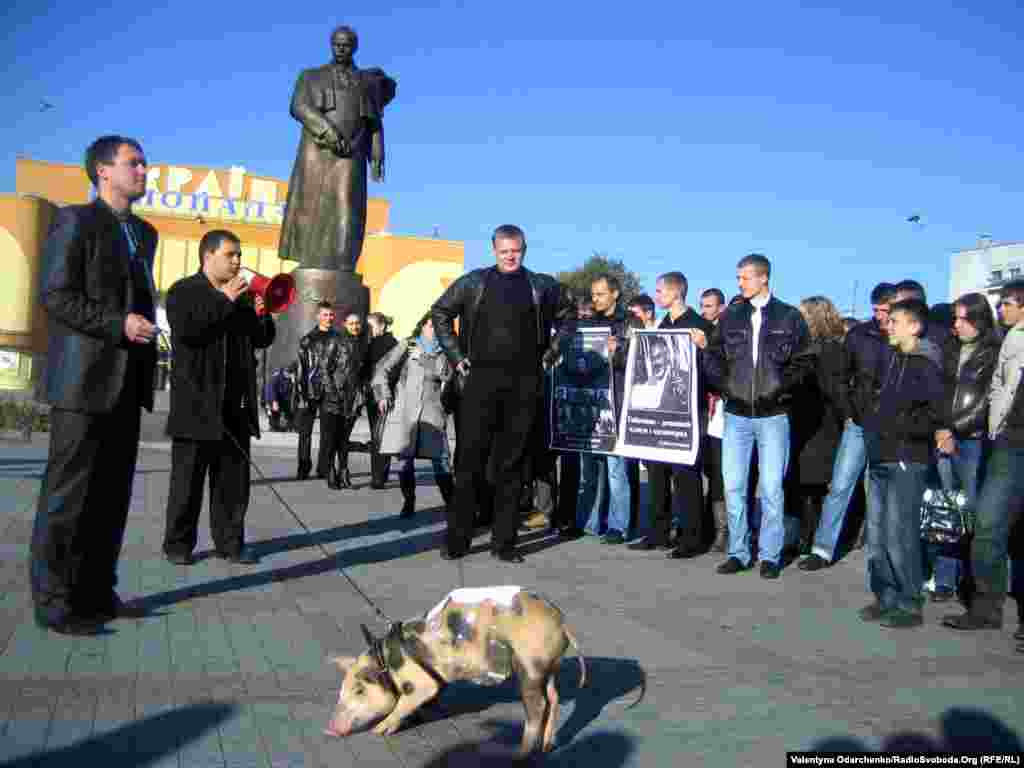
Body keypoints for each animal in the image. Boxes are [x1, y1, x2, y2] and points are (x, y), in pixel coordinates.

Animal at [323, 585, 589, 753]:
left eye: (359, 690)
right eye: (341, 690)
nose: (329, 730)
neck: (388, 662)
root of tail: (562, 624)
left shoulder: (420, 684)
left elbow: (403, 704)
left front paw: (378, 731)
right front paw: (422, 714)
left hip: (530, 665)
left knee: (538, 707)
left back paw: (522, 754)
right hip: (547, 667)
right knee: (554, 698)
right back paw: (546, 746)